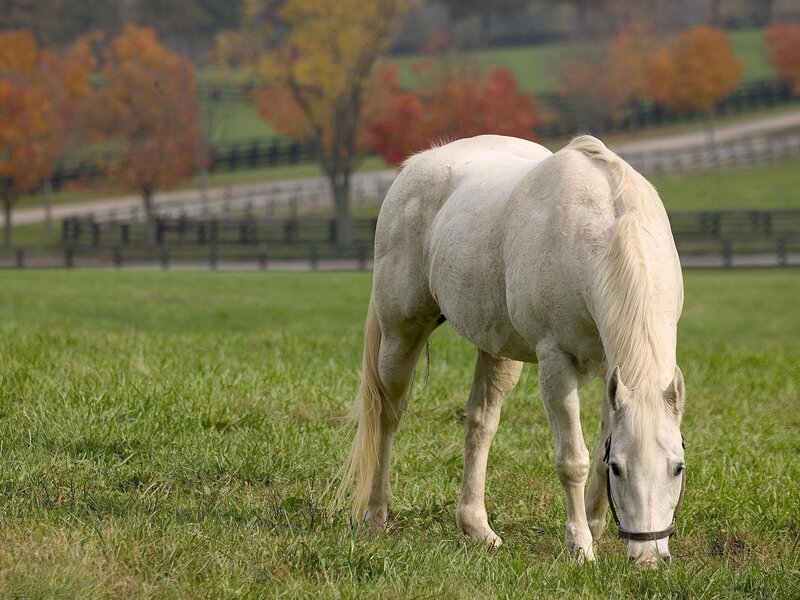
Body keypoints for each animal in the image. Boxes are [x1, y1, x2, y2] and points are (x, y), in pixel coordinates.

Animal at [336, 134, 686, 566]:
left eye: (678, 468)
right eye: (620, 469)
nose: (649, 557)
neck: (603, 234)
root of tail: (415, 165)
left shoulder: (612, 370)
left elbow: (597, 446)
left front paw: (594, 527)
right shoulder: (556, 364)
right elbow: (573, 459)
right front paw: (580, 545)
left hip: (496, 350)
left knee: (480, 424)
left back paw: (477, 527)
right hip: (401, 333)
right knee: (387, 415)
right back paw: (376, 514)